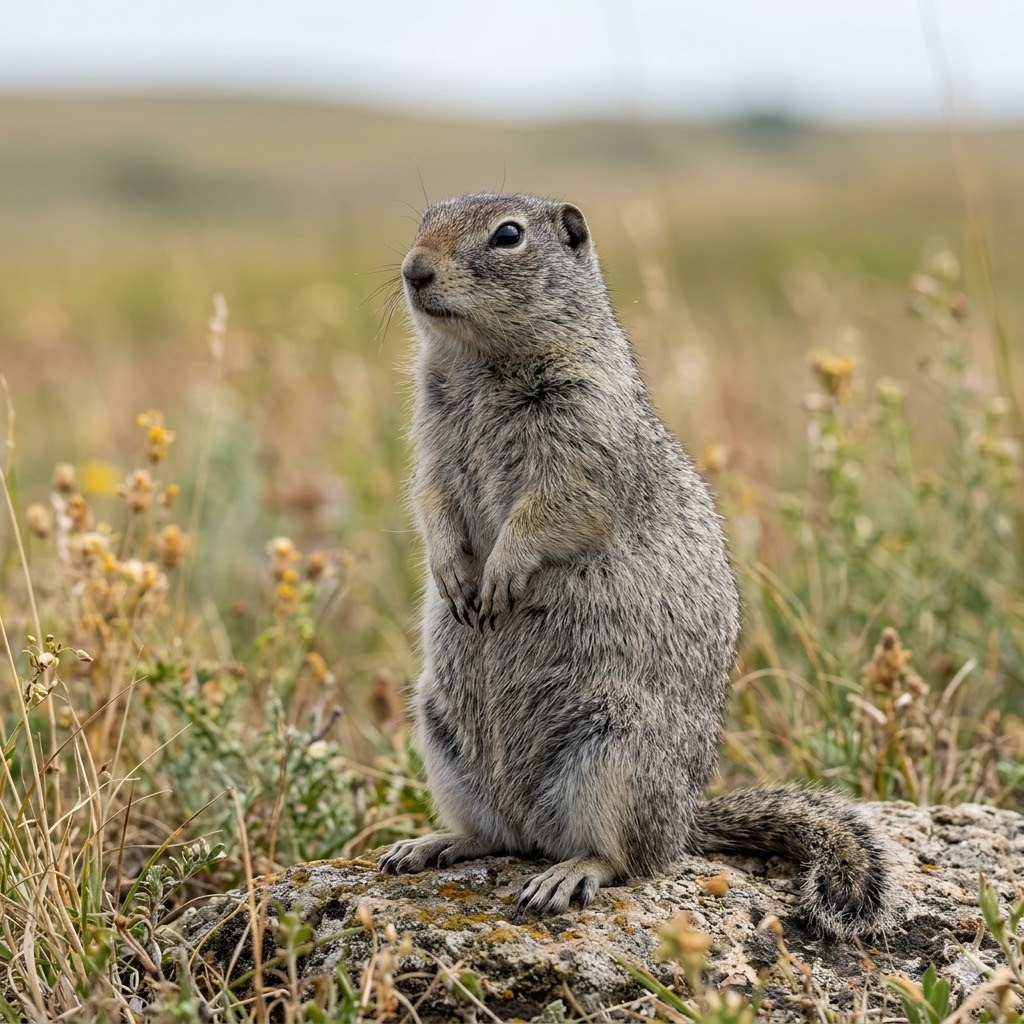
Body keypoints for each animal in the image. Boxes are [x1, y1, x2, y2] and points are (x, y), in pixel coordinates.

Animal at [378, 192, 902, 939]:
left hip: (616, 757)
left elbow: (552, 507)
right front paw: (452, 571)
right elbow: (431, 498)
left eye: (508, 235)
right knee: (498, 837)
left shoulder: (584, 435)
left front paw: (502, 573)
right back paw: (433, 843)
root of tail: (685, 823)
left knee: (625, 858)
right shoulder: (427, 439)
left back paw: (568, 874)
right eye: (426, 218)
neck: (481, 359)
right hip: (442, 735)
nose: (414, 270)